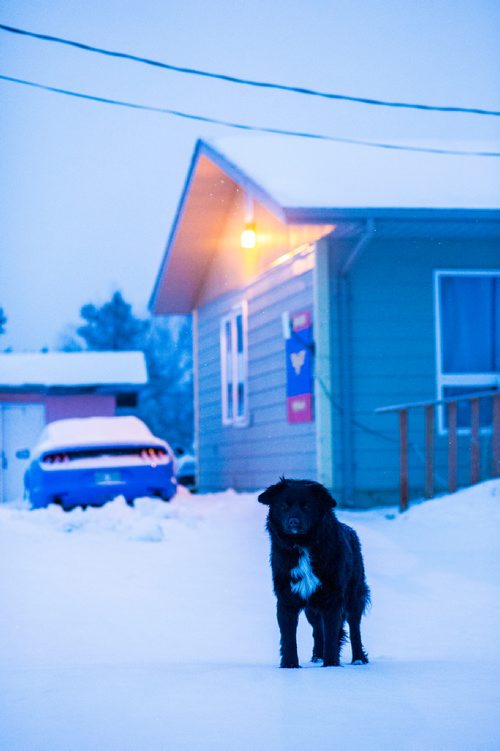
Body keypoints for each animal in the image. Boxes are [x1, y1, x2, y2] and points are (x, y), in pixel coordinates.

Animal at [260, 478, 370, 668]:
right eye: (283, 506)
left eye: (307, 507)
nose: (293, 522)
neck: (302, 545)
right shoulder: (286, 598)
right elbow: (288, 636)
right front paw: (290, 665)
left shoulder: (333, 599)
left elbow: (332, 635)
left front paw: (331, 665)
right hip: (312, 609)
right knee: (318, 629)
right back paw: (317, 655)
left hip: (354, 597)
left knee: (354, 628)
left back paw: (358, 659)